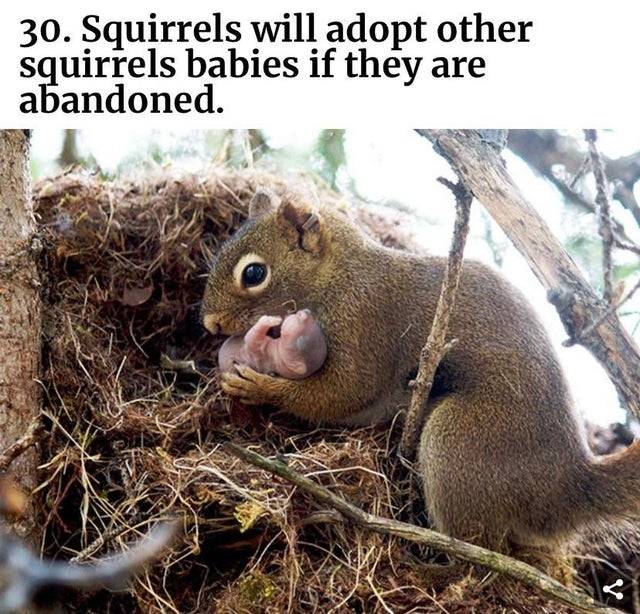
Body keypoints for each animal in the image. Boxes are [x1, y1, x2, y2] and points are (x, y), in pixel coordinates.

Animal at [202, 187, 640, 557]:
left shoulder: (366, 320)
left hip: (461, 439)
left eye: (254, 273)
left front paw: (260, 386)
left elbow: (343, 392)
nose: (209, 324)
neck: (339, 276)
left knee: (478, 549)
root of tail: (569, 487)